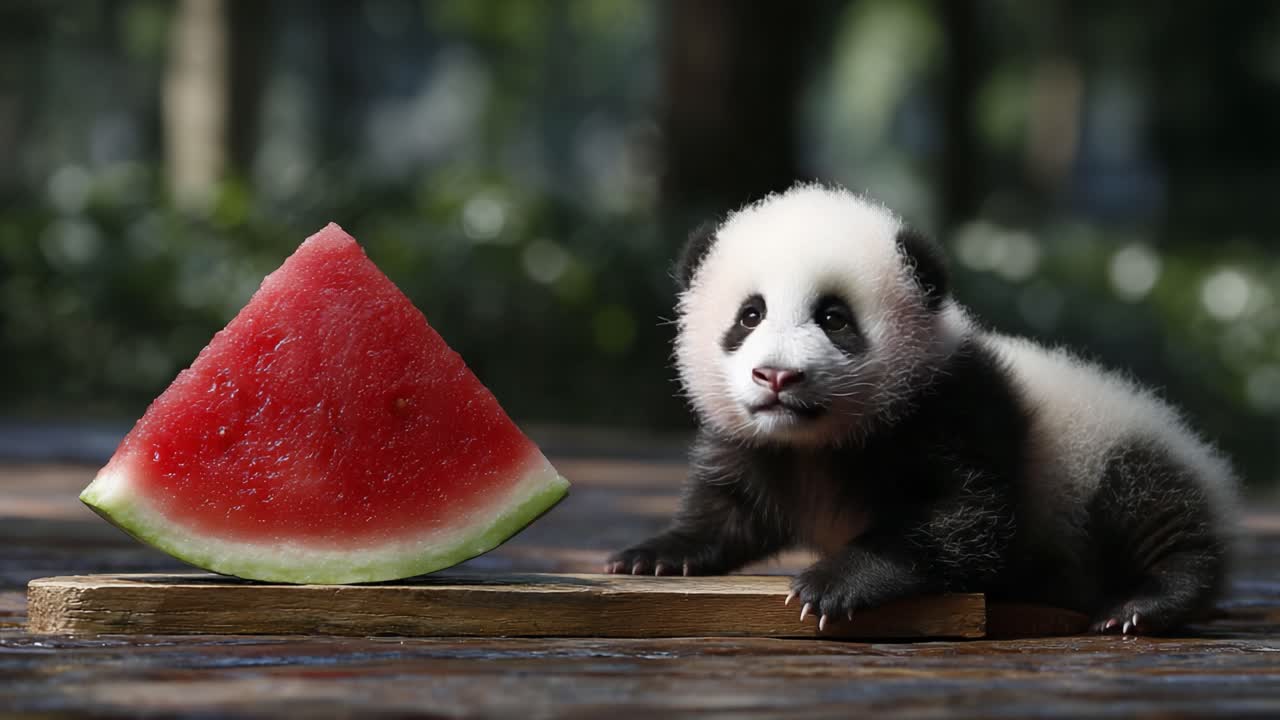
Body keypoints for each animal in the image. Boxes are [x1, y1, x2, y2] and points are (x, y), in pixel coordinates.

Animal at [606, 183, 1239, 635]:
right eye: (750, 315)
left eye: (834, 318)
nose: (778, 375)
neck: (817, 441)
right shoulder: (757, 444)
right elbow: (727, 510)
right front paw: (652, 556)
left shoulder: (949, 408)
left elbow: (963, 516)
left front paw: (832, 584)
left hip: (1116, 451)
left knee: (1159, 517)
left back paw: (1143, 605)